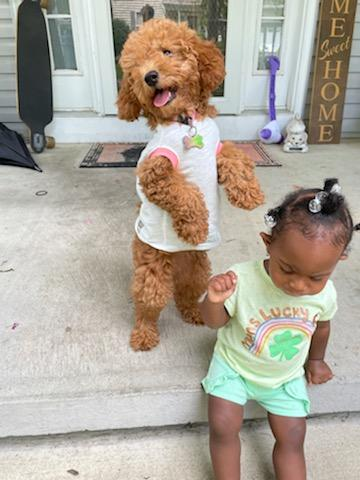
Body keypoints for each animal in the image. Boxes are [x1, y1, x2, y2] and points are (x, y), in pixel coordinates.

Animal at [118, 18, 264, 350]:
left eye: (167, 51)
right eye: (135, 67)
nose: (149, 76)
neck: (184, 120)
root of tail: (175, 258)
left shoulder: (216, 152)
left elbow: (235, 159)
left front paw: (250, 194)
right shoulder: (154, 173)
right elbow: (184, 193)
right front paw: (196, 226)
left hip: (196, 267)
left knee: (185, 293)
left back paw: (194, 313)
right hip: (152, 266)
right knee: (148, 301)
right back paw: (144, 333)